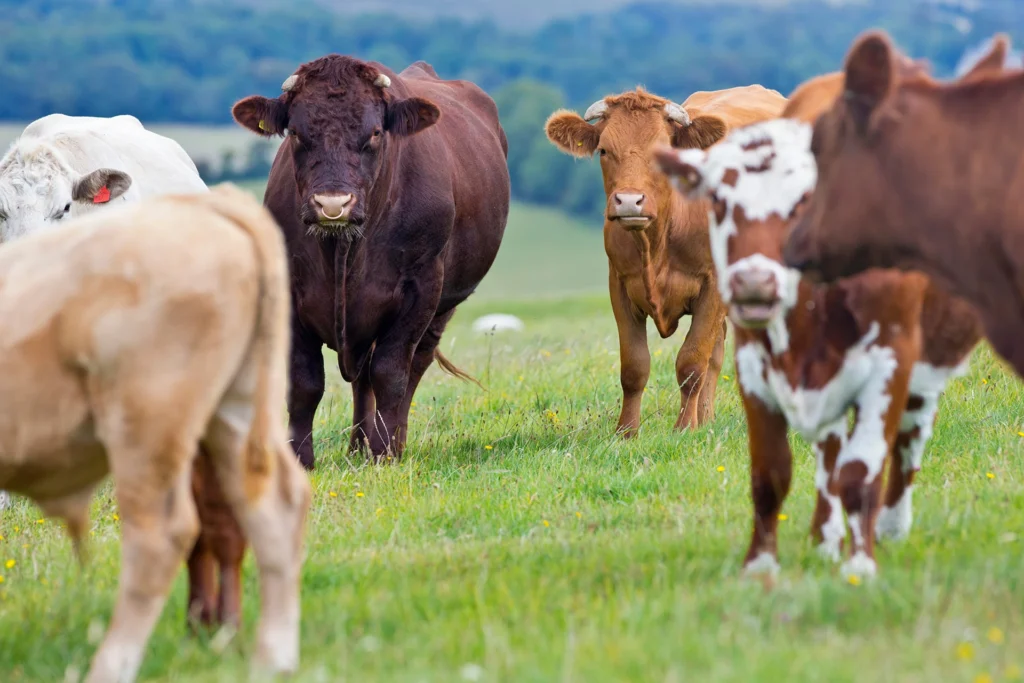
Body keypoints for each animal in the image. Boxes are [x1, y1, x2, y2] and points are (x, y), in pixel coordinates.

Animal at [0, 184, 311, 683]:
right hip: (238, 410)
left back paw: (110, 667)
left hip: (148, 427)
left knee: (162, 536)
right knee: (274, 507)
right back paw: (271, 659)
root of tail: (211, 208)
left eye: (64, 207)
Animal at [231, 56, 510, 464]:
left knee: (414, 366)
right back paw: (357, 447)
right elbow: (305, 381)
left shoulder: (420, 289)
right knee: (362, 380)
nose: (333, 204)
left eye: (376, 133)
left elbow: (391, 373)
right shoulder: (290, 289)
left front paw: (384, 454)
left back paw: (390, 444)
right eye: (295, 133)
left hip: (441, 307)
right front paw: (300, 458)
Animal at [544, 86, 788, 436]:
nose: (629, 201)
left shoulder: (714, 286)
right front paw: (627, 432)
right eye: (603, 150)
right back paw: (707, 418)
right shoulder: (619, 285)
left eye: (663, 152)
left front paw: (684, 427)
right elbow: (634, 366)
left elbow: (691, 362)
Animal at [653, 70, 981, 578]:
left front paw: (860, 559)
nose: (753, 280)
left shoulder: (889, 360)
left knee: (909, 433)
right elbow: (783, 467)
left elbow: (865, 462)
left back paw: (889, 526)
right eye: (720, 202)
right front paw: (794, 553)